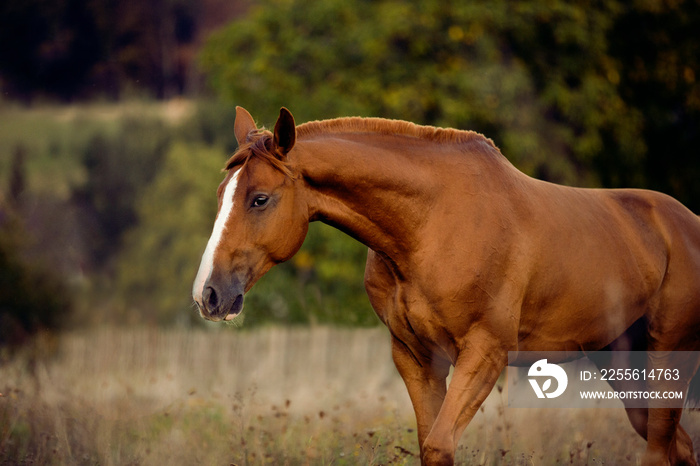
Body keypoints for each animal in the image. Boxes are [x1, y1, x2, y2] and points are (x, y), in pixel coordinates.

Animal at [193, 107, 700, 464]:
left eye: (260, 199)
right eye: (221, 195)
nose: (208, 294)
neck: (430, 225)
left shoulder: (485, 354)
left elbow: (439, 446)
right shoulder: (417, 358)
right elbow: (428, 446)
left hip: (668, 359)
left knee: (661, 450)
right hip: (623, 365)